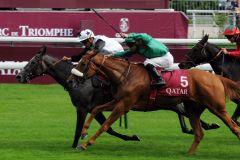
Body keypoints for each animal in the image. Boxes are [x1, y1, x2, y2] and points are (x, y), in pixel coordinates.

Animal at [67, 51, 240, 154]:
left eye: (83, 64)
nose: (70, 81)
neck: (124, 75)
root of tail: (216, 77)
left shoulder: (124, 105)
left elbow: (105, 125)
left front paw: (85, 144)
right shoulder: (118, 101)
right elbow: (96, 109)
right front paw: (84, 132)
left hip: (216, 107)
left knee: (234, 127)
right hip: (193, 109)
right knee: (199, 133)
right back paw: (188, 154)